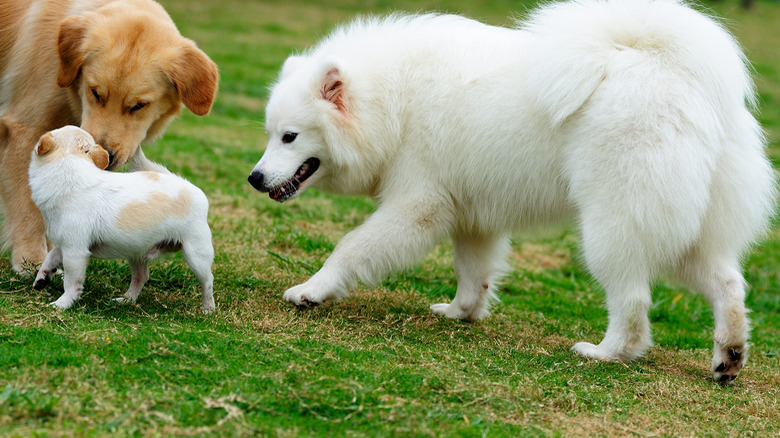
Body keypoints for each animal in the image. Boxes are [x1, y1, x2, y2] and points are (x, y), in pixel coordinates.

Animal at [0, 0, 219, 272]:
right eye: (95, 92)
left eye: (139, 105)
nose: (105, 158)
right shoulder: (25, 129)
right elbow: (28, 207)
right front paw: (32, 260)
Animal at [27, 125, 215, 314]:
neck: (70, 162)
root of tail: (192, 187)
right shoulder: (66, 243)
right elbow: (51, 256)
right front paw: (42, 277)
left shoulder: (75, 251)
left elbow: (72, 282)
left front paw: (63, 303)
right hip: (137, 252)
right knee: (141, 277)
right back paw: (126, 300)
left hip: (196, 254)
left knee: (207, 281)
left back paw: (207, 309)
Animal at [250, 0, 772, 384]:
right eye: (269, 133)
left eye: (290, 137)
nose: (254, 178)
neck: (391, 101)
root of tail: (678, 76)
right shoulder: (470, 214)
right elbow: (473, 274)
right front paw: (460, 313)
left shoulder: (418, 205)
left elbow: (351, 247)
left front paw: (311, 291)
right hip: (689, 231)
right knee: (729, 284)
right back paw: (728, 356)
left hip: (613, 225)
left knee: (633, 301)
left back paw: (605, 352)